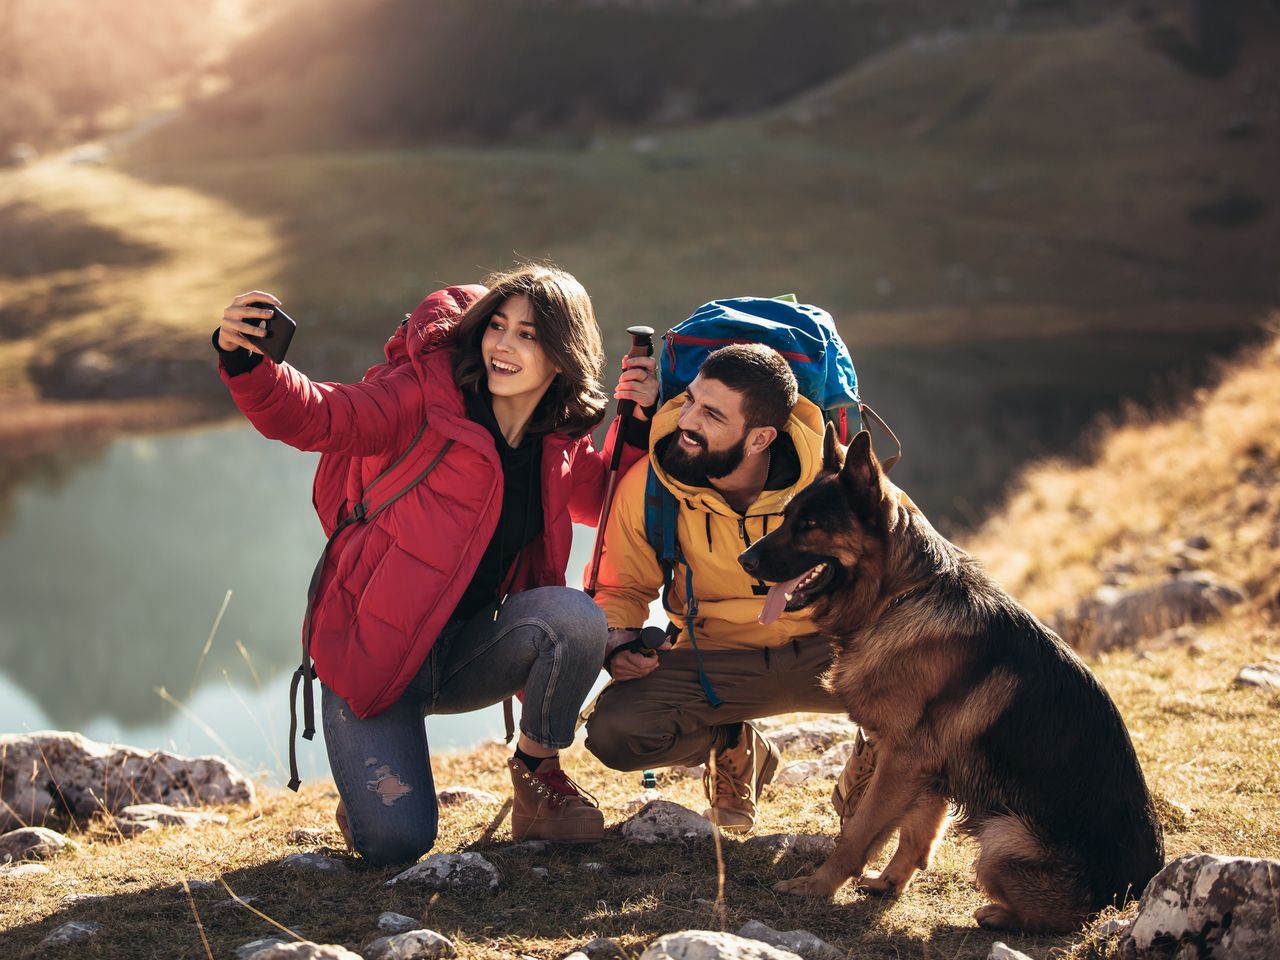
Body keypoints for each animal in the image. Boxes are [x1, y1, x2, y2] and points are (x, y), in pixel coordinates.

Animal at [737, 432, 1167, 936]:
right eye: (787, 516)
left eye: (810, 524)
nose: (745, 559)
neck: (900, 597)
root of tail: (1136, 891)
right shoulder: (927, 766)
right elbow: (917, 831)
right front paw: (889, 883)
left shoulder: (904, 758)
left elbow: (860, 832)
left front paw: (817, 886)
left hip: (1003, 835)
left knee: (1069, 918)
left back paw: (1000, 913)